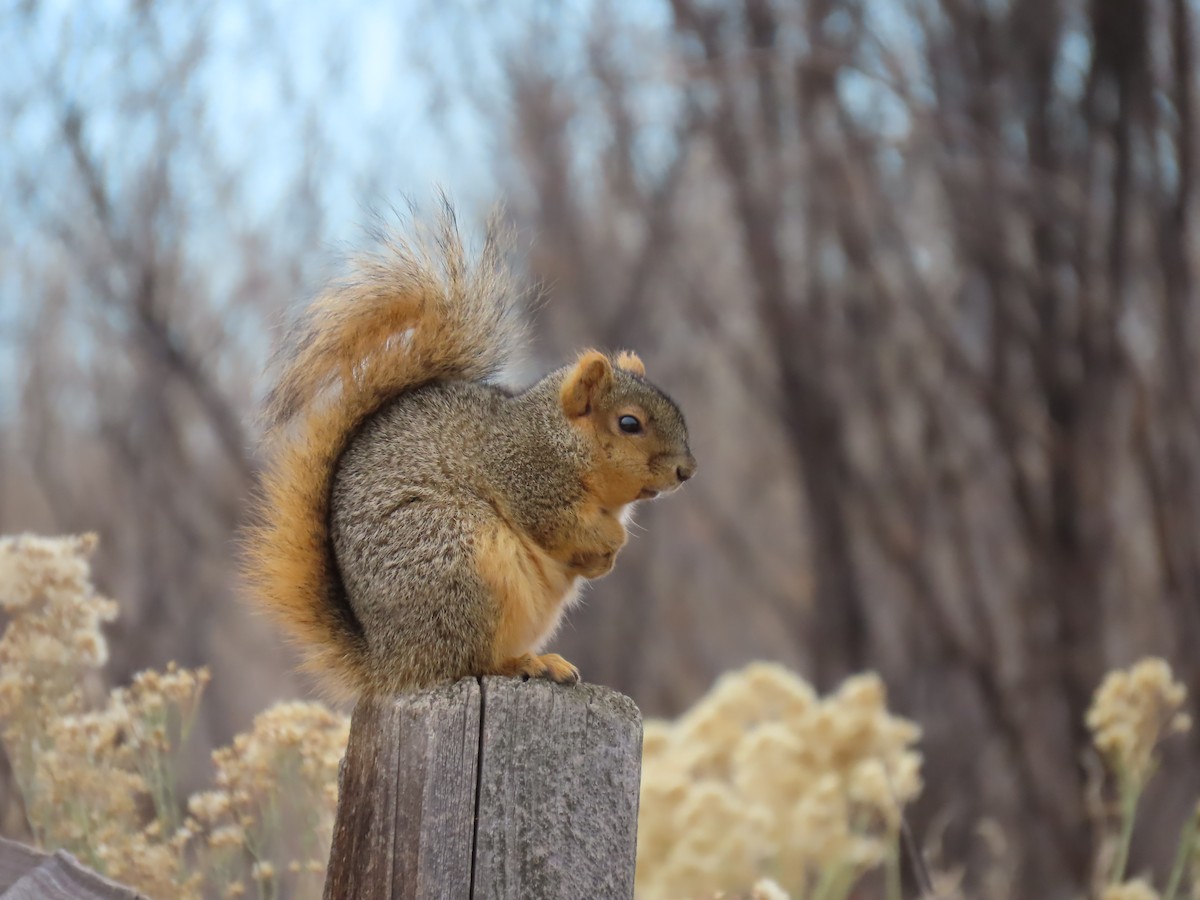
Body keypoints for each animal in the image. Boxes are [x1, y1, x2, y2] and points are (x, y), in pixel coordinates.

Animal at [243, 206, 696, 699]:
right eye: (629, 423)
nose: (687, 470)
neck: (557, 436)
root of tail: (391, 663)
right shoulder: (528, 477)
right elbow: (558, 524)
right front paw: (613, 542)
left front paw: (604, 558)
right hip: (461, 565)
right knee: (468, 661)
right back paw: (531, 663)